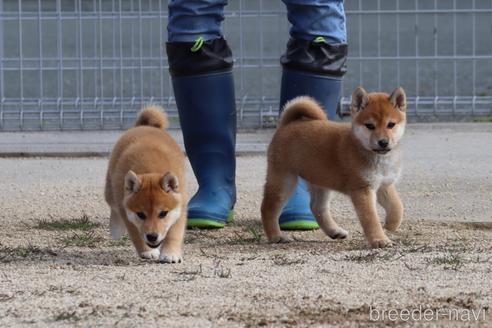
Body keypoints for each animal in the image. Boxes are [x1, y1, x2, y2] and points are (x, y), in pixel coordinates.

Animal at [104, 105, 186, 264]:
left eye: (163, 213)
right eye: (141, 214)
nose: (152, 236)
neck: (150, 169)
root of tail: (143, 126)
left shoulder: (181, 206)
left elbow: (174, 233)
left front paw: (171, 253)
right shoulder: (126, 211)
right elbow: (136, 234)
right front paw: (147, 251)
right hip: (111, 192)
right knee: (113, 207)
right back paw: (116, 229)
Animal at [262, 87, 408, 249]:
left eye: (391, 124)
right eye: (370, 126)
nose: (383, 142)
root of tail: (286, 124)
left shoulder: (384, 184)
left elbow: (397, 206)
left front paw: (390, 225)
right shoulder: (362, 189)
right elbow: (371, 218)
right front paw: (379, 239)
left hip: (320, 181)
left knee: (317, 207)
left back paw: (335, 231)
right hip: (283, 180)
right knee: (268, 208)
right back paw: (276, 236)